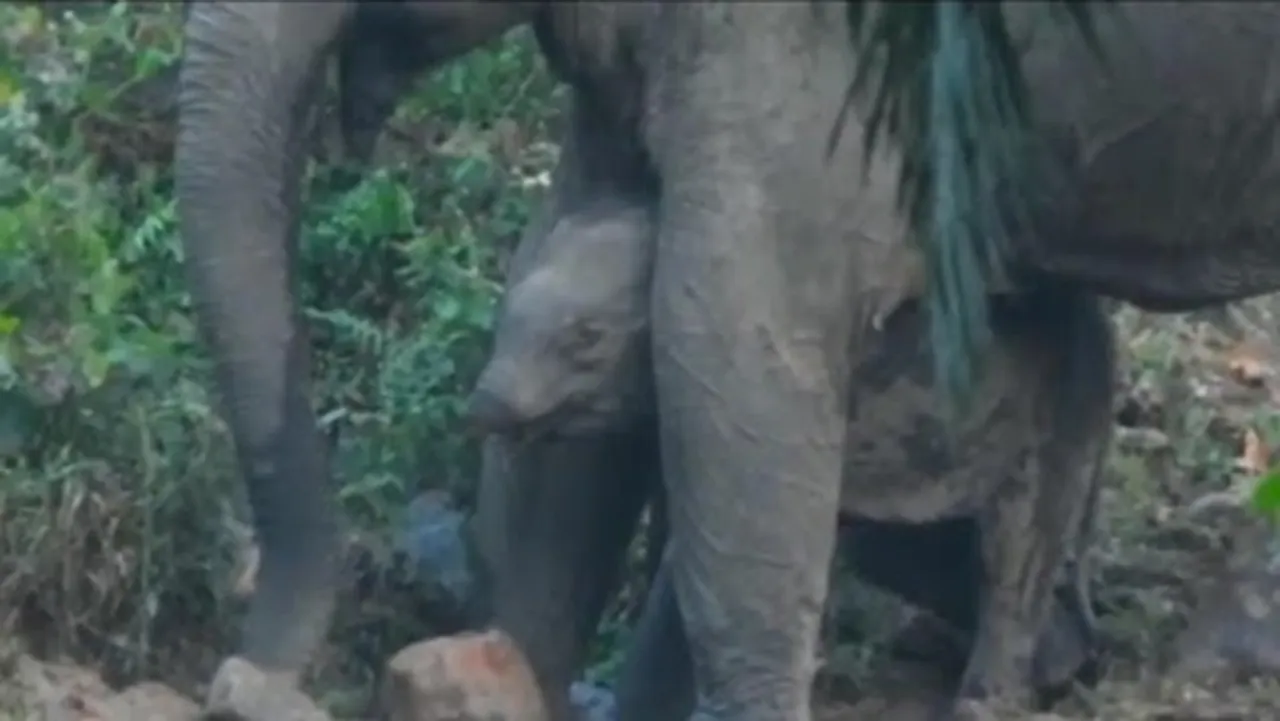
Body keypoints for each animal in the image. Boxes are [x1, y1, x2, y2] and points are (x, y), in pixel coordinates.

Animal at [468, 195, 1111, 717]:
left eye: (586, 338)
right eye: (510, 307)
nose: (482, 406)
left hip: (1055, 414)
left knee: (1015, 549)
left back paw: (988, 702)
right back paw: (1056, 666)